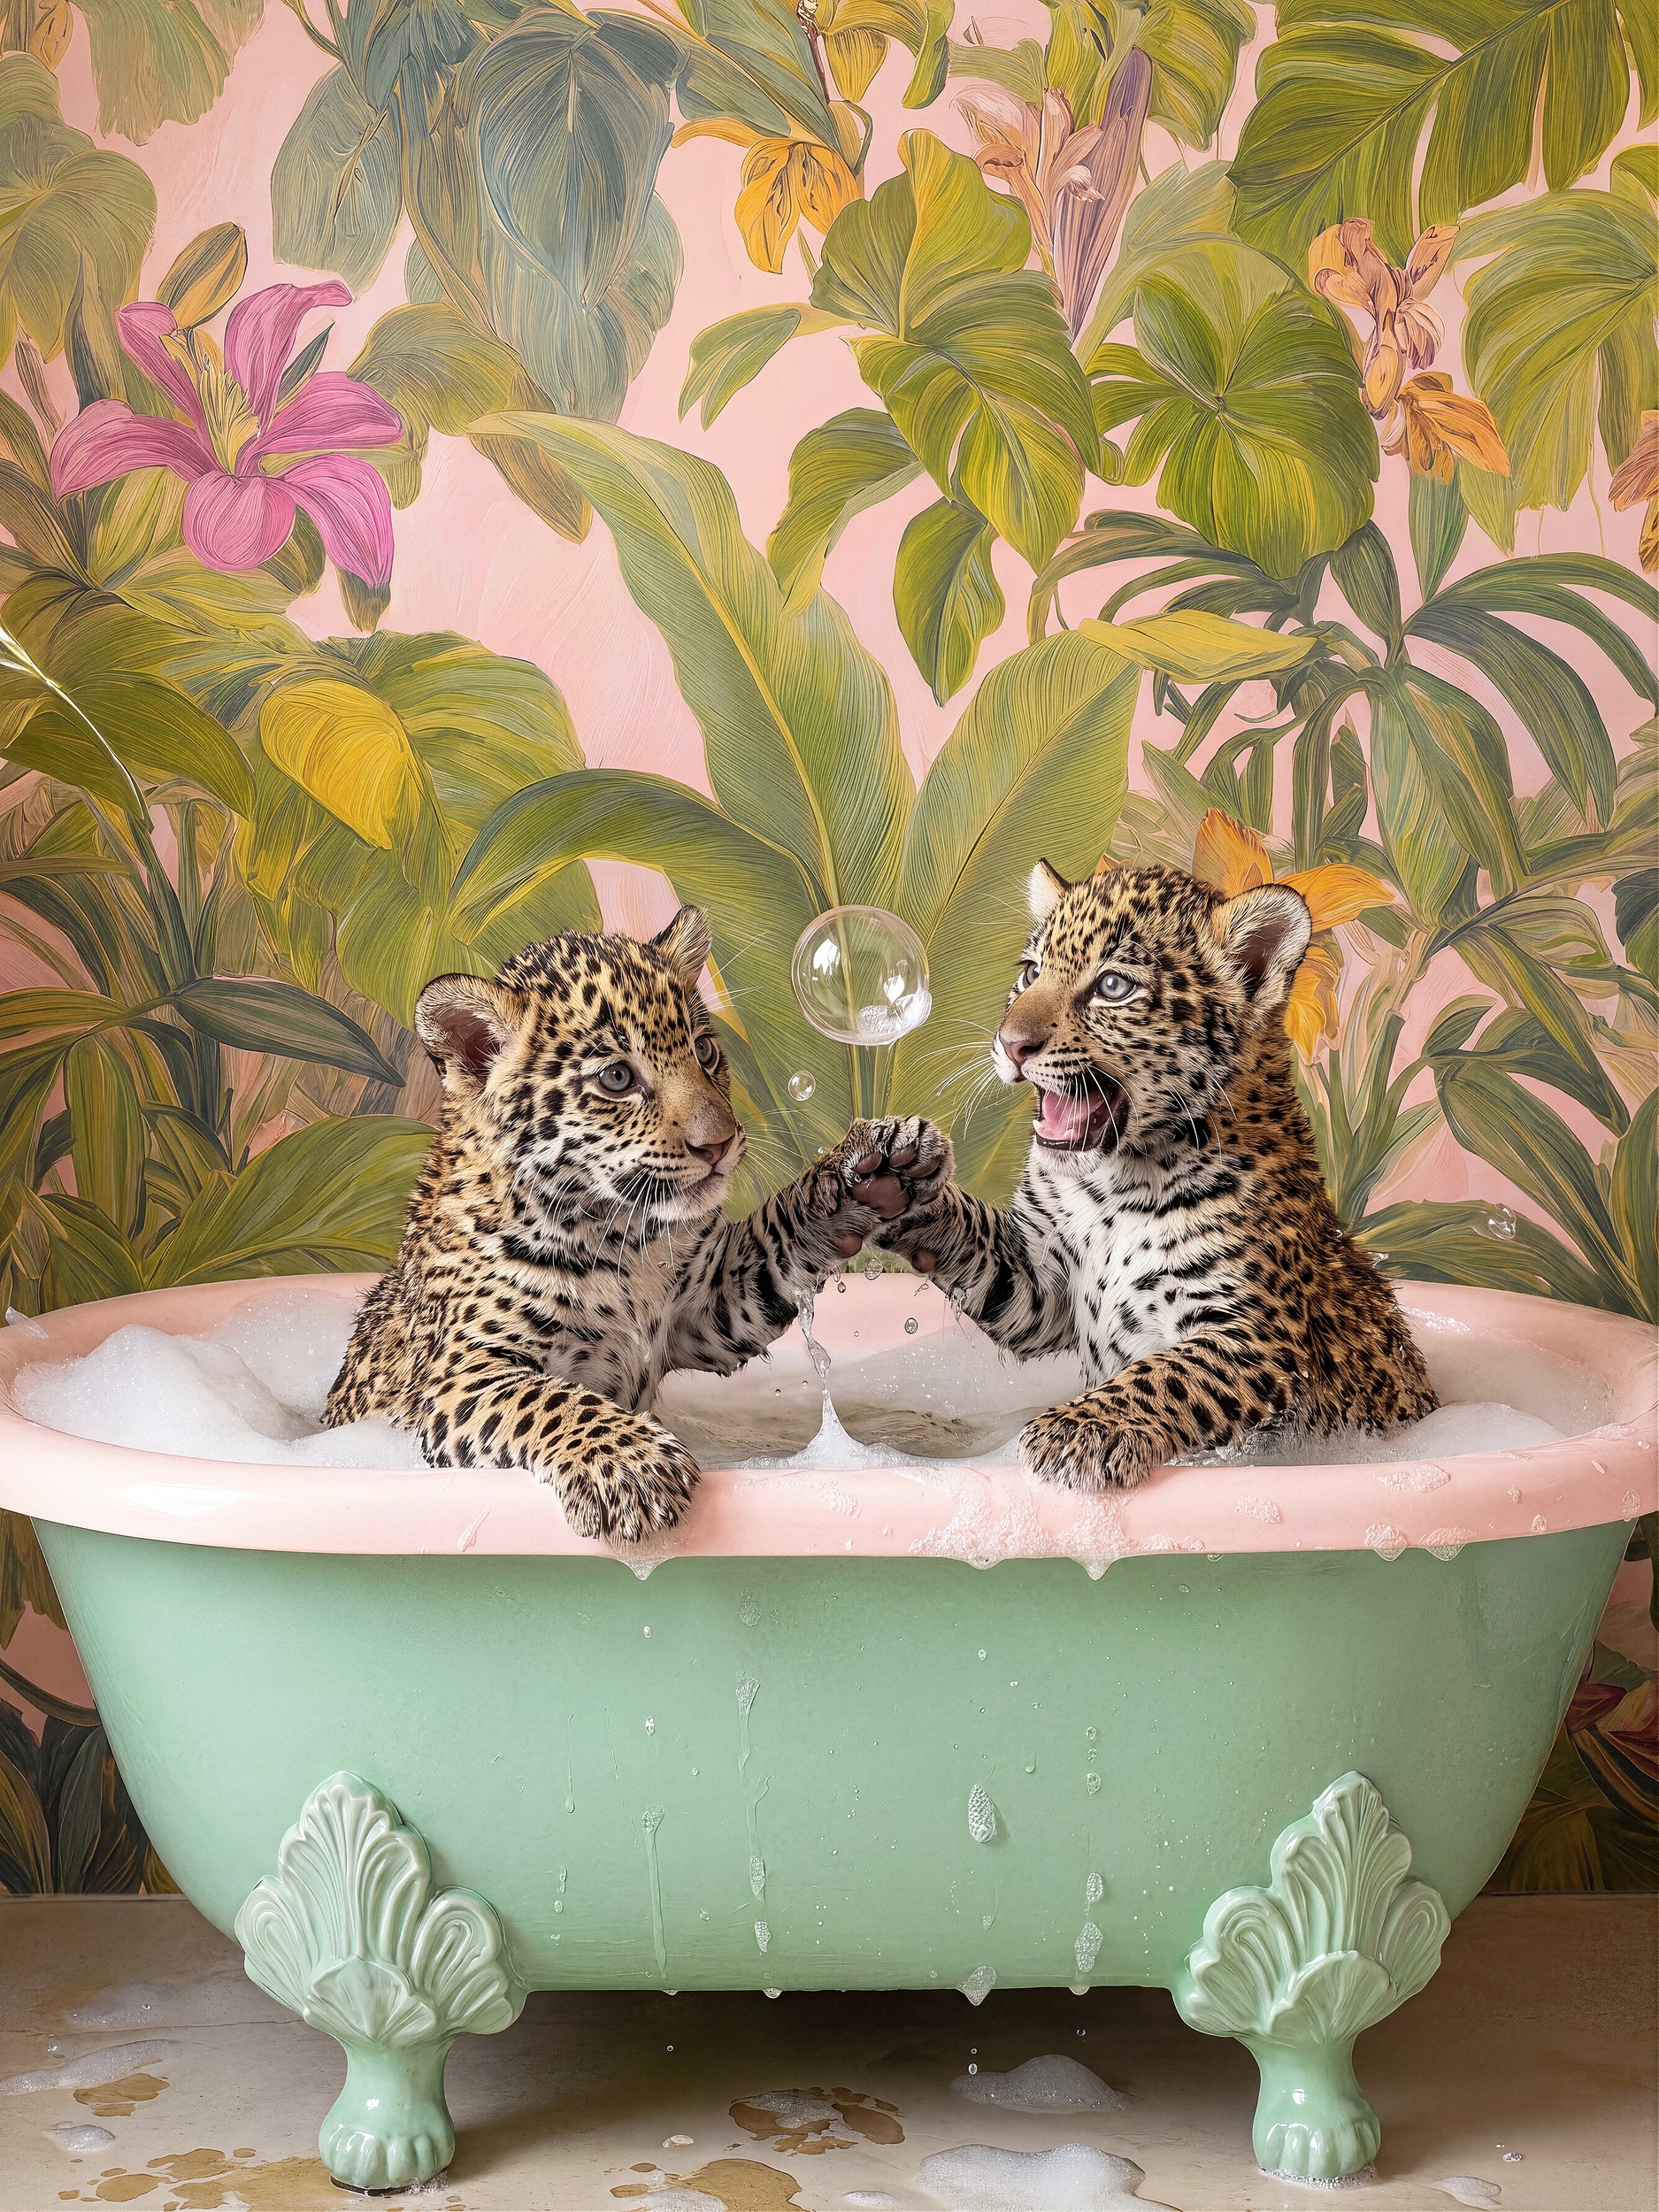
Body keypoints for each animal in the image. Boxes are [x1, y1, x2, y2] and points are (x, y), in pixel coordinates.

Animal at [326, 906, 950, 1540]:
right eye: (617, 1080)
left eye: (704, 1051)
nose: (719, 1144)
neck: (621, 1238)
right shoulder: (460, 1373)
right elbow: (545, 1398)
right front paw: (631, 1464)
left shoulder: (708, 1308)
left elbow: (779, 1232)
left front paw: (873, 1164)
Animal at [875, 853, 1437, 1490]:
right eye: (1030, 973)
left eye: (1112, 987)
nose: (1011, 1044)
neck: (1110, 1187)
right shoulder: (1042, 1284)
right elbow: (979, 1244)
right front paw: (899, 1172)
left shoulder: (1254, 1332)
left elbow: (1165, 1374)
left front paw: (1077, 1431)